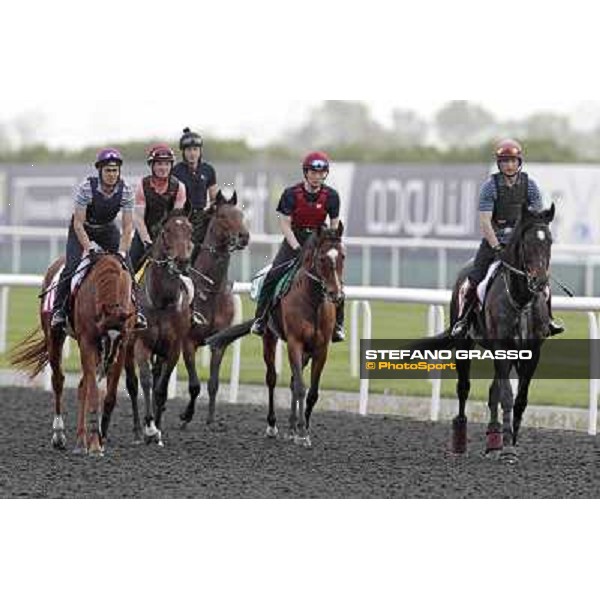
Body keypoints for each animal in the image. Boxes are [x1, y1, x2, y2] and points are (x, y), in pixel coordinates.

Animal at [9, 252, 134, 454]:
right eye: (104, 336)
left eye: (119, 338)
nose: (108, 361)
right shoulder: (88, 342)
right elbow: (93, 392)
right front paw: (95, 444)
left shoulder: (122, 345)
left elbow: (109, 396)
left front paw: (99, 438)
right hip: (54, 335)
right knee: (59, 380)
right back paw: (59, 435)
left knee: (83, 385)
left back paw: (81, 440)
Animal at [123, 209, 193, 442]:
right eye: (167, 231)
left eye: (190, 230)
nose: (182, 261)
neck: (162, 301)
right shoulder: (141, 344)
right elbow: (145, 382)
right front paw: (149, 426)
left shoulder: (173, 348)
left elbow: (161, 388)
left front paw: (158, 428)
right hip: (126, 347)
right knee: (132, 384)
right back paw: (137, 429)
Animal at [207, 223, 344, 448]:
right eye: (322, 258)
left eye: (342, 256)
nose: (336, 294)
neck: (313, 302)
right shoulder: (295, 343)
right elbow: (300, 387)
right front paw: (302, 433)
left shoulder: (321, 348)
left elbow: (312, 392)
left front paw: (303, 428)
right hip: (269, 337)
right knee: (272, 378)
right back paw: (273, 425)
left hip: (306, 351)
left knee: (292, 381)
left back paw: (292, 427)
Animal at [414, 204, 556, 462]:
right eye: (528, 242)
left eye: (549, 240)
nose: (540, 281)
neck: (520, 299)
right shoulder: (502, 349)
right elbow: (507, 396)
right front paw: (508, 448)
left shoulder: (531, 353)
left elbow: (519, 399)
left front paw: (511, 442)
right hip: (464, 343)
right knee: (464, 387)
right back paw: (461, 440)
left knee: (493, 391)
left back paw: (493, 440)